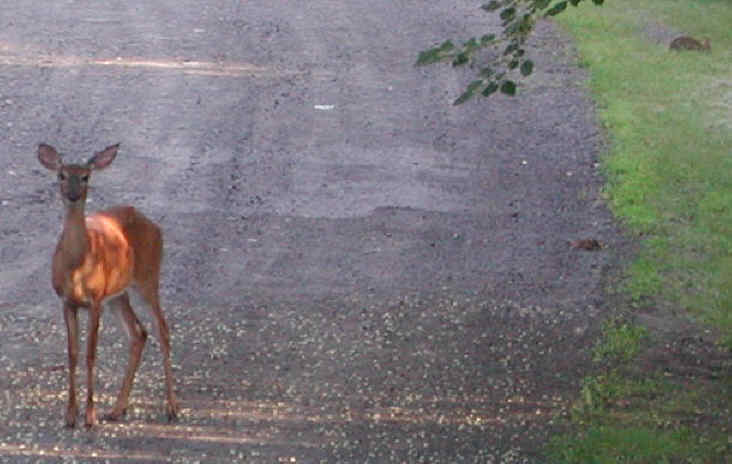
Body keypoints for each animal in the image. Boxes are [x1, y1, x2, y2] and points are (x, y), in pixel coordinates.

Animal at [37, 143, 179, 428]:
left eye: (85, 176)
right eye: (61, 174)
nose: (72, 195)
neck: (76, 265)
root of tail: (152, 223)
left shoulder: (95, 300)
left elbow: (91, 354)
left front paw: (90, 416)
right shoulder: (67, 301)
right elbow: (72, 354)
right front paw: (70, 416)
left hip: (147, 278)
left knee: (162, 329)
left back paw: (172, 408)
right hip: (118, 295)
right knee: (139, 333)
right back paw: (116, 409)